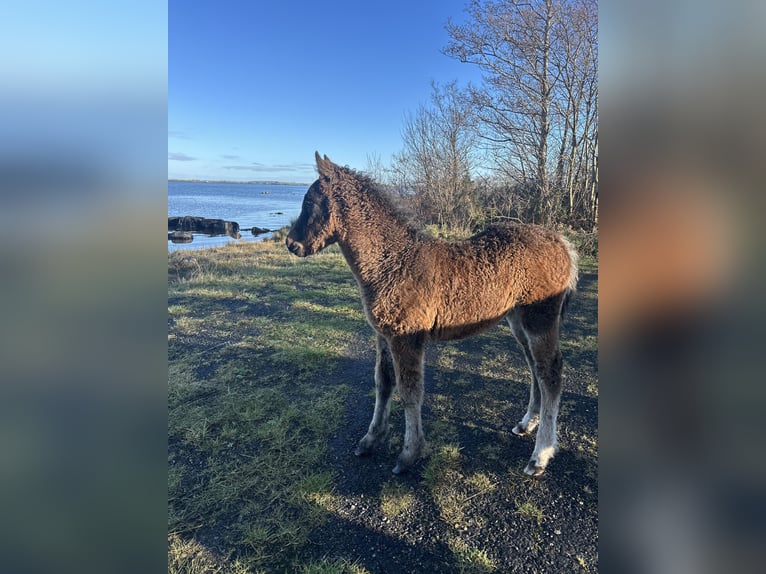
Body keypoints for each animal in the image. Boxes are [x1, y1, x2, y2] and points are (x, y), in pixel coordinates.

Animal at [286, 153, 578, 476]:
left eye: (310, 203)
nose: (291, 244)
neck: (392, 262)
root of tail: (562, 243)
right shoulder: (383, 335)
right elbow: (383, 383)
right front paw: (371, 439)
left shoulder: (406, 337)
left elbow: (410, 391)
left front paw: (409, 454)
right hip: (518, 321)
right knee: (534, 368)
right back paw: (526, 424)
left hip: (540, 320)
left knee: (550, 373)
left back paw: (540, 455)